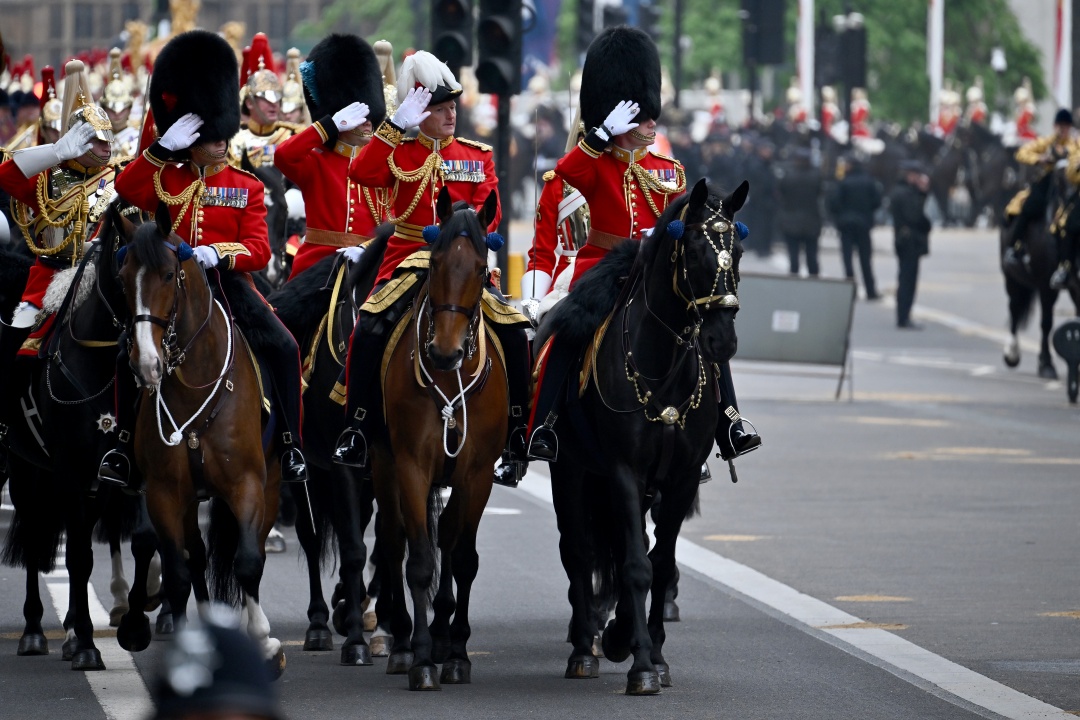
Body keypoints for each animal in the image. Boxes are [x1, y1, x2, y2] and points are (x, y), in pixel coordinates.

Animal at [115, 207, 285, 677]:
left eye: (168, 275)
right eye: (123, 277)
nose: (146, 364)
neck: (194, 380)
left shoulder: (247, 484)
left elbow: (247, 561)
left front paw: (264, 642)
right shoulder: (165, 493)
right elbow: (178, 572)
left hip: (270, 484)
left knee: (247, 548)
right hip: (190, 498)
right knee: (195, 556)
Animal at [371, 188, 505, 690]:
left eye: (483, 268)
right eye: (437, 262)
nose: (444, 353)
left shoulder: (477, 474)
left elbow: (461, 556)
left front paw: (457, 652)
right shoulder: (411, 466)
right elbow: (421, 560)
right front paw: (424, 657)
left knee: (444, 536)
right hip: (382, 464)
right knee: (395, 540)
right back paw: (403, 641)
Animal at [540, 177, 751, 695]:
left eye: (737, 253)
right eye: (692, 251)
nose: (722, 341)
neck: (663, 366)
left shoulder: (680, 479)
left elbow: (659, 563)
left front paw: (652, 653)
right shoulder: (624, 472)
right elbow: (635, 565)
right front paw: (637, 663)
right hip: (570, 471)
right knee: (578, 551)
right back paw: (583, 648)